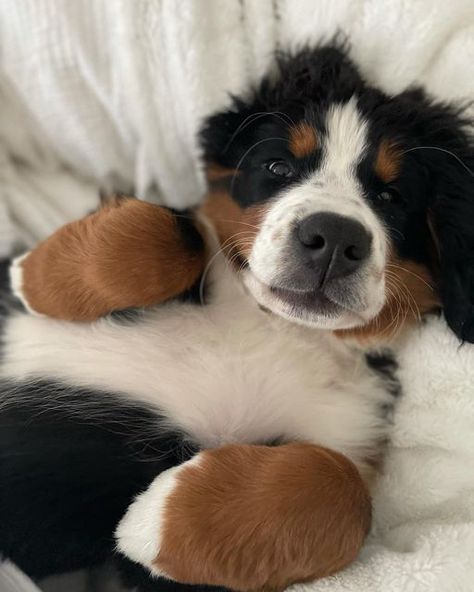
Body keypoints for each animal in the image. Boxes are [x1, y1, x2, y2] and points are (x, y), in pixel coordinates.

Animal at [0, 42, 472, 592]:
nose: (335, 236)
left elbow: (348, 493)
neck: (280, 328)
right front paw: (31, 276)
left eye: (393, 198)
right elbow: (167, 231)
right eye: (278, 167)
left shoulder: (351, 433)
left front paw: (153, 522)